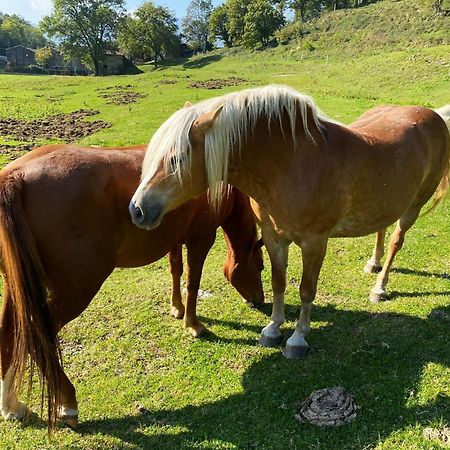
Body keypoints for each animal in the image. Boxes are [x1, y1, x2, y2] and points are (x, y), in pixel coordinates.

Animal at [0, 143, 264, 428]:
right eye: (261, 267)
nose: (259, 300)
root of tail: (16, 176)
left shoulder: (174, 237)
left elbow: (175, 270)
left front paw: (176, 308)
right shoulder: (200, 238)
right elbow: (193, 281)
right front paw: (193, 324)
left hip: (16, 287)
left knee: (11, 331)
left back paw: (11, 406)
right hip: (77, 289)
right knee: (38, 334)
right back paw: (67, 402)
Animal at [129, 84, 450, 362]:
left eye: (176, 159)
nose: (137, 209)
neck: (289, 164)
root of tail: (433, 116)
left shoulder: (314, 243)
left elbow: (307, 289)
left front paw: (297, 339)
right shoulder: (274, 237)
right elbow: (279, 282)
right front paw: (272, 330)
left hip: (413, 207)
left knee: (397, 240)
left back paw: (379, 287)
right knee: (382, 227)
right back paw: (373, 263)